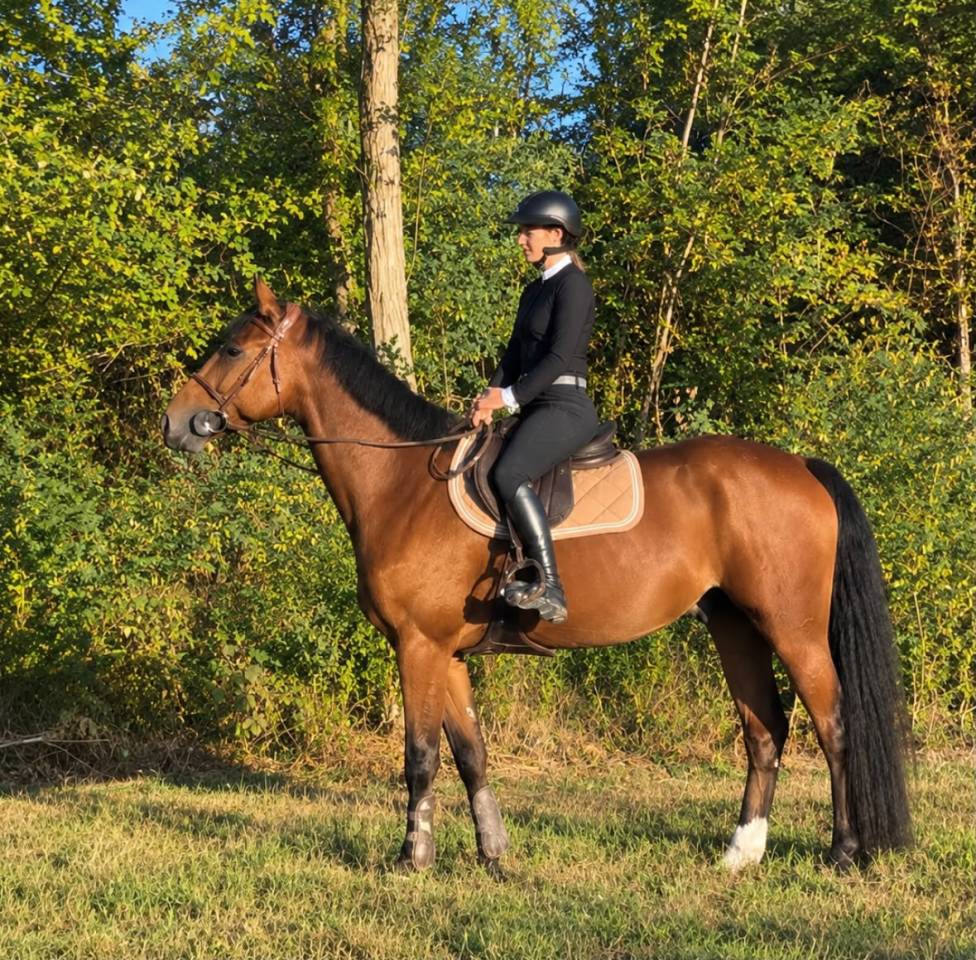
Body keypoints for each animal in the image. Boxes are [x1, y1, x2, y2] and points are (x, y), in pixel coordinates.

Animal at [162, 278, 911, 873]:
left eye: (231, 350)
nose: (175, 424)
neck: (402, 484)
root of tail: (800, 466)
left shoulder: (418, 646)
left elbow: (420, 755)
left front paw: (412, 858)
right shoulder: (448, 653)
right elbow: (471, 753)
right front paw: (493, 854)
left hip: (792, 627)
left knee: (832, 724)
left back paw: (843, 852)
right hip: (734, 625)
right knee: (765, 730)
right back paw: (741, 852)